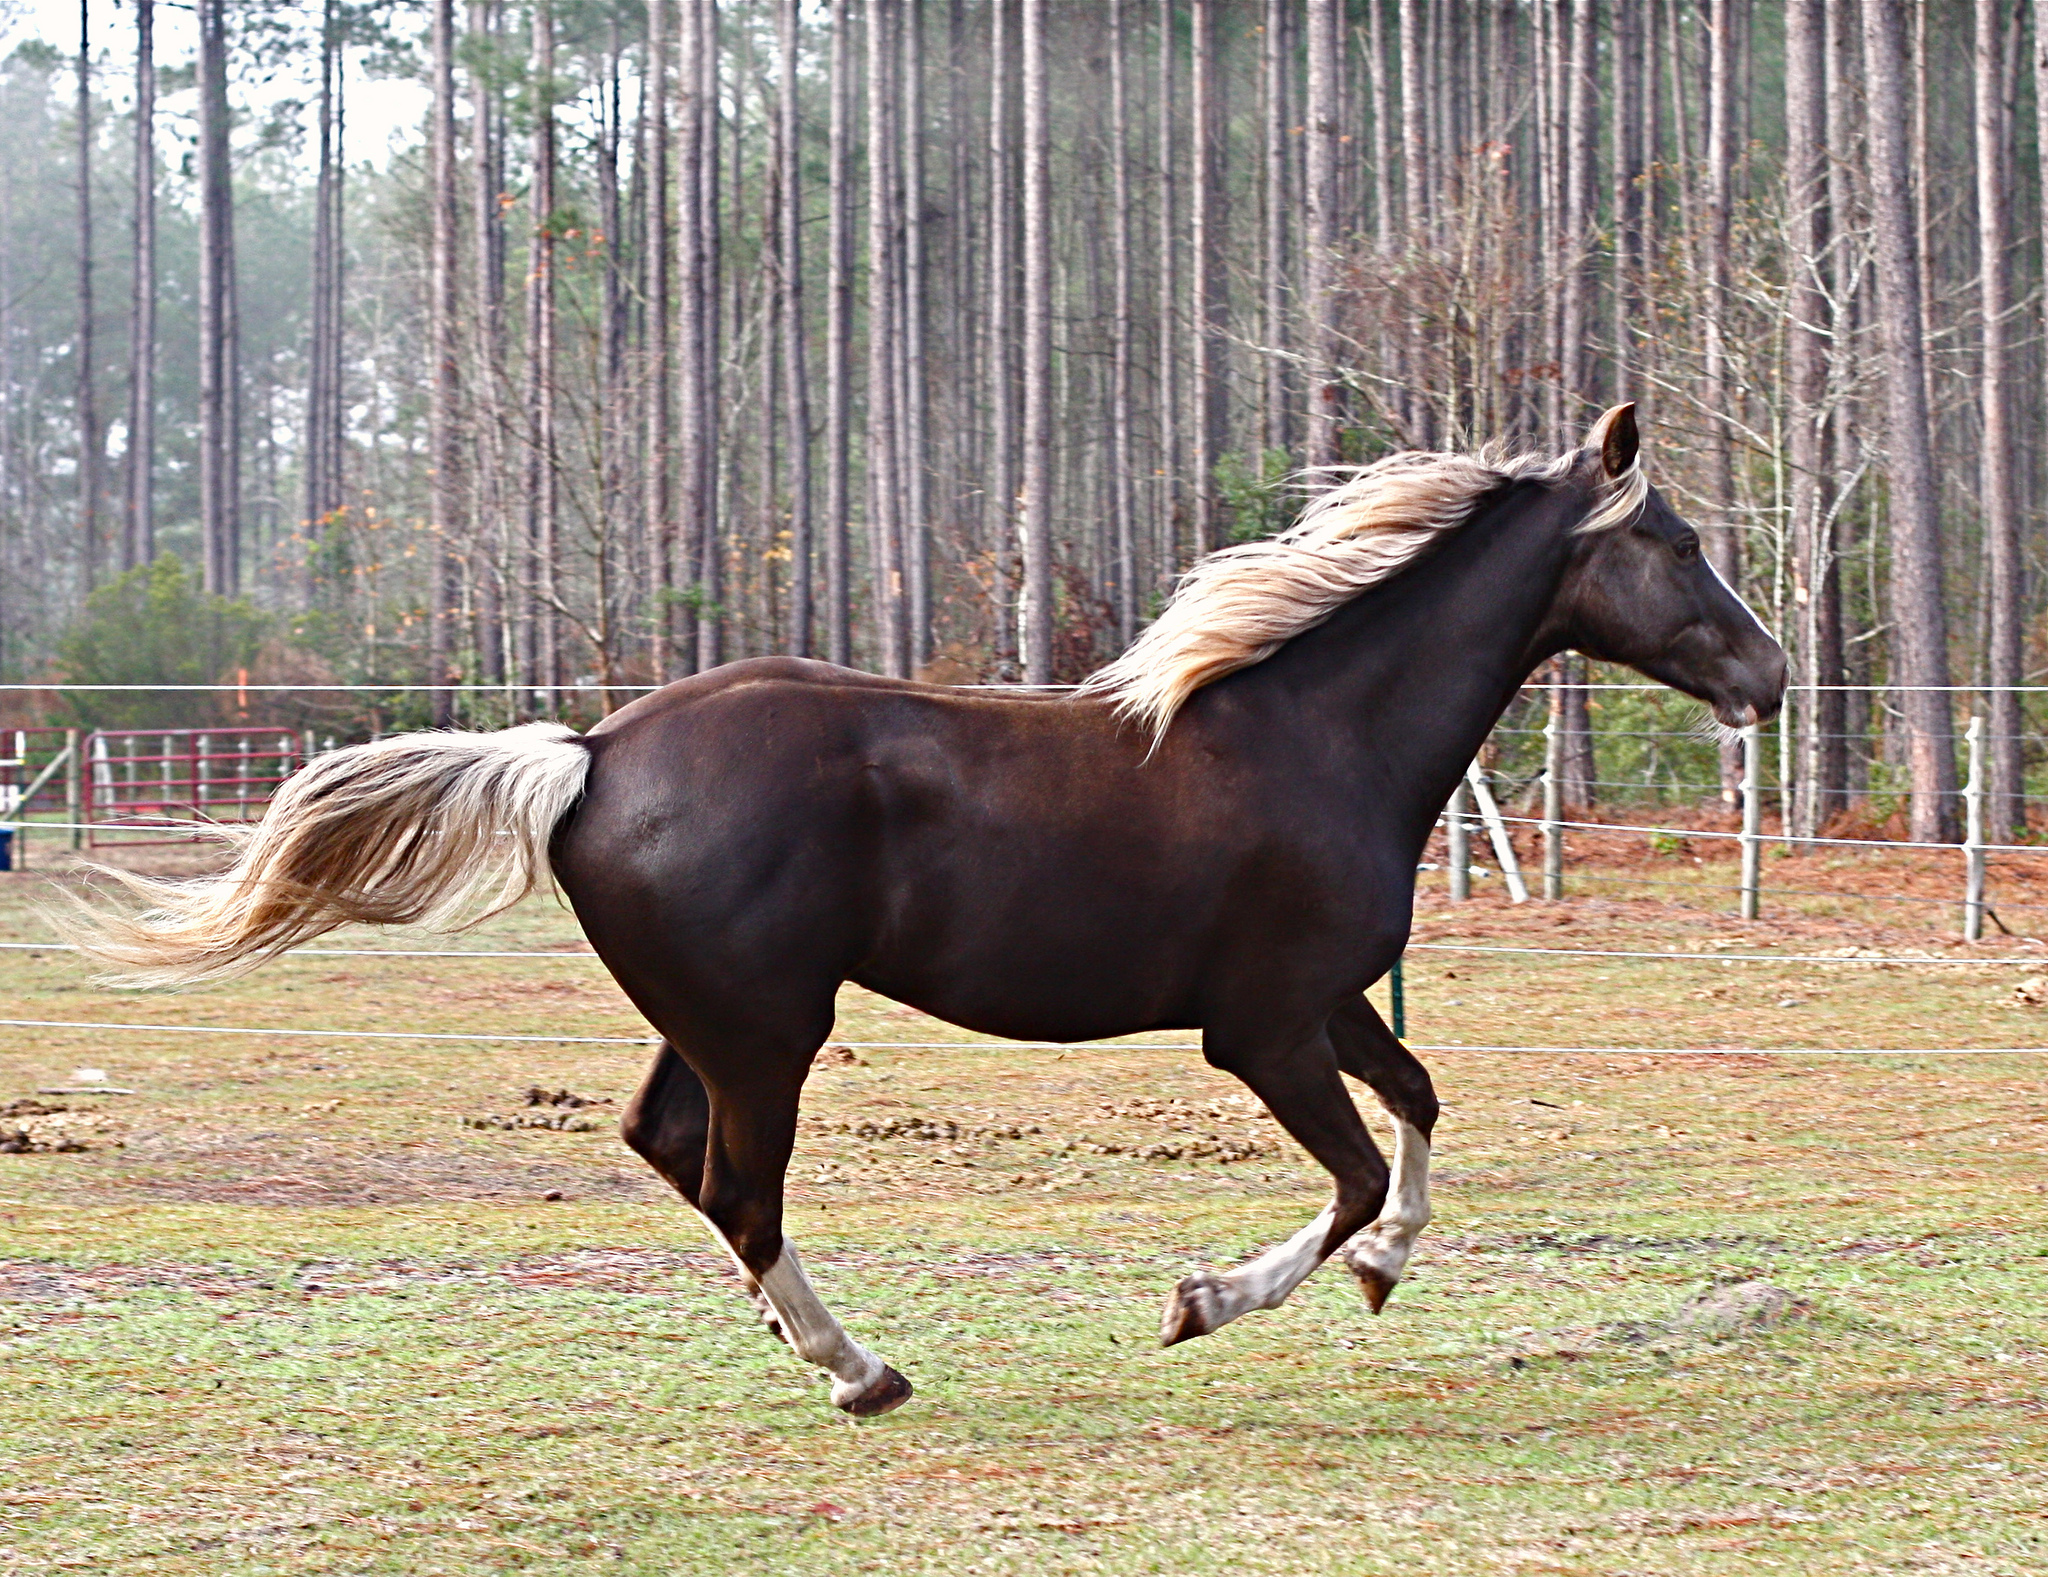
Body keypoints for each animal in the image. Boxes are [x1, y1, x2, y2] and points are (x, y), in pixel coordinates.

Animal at [72, 405, 1785, 1409]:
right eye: (1677, 539)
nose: (1767, 677)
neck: (1317, 734)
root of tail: (592, 750)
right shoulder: (1262, 1030)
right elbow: (1361, 1167)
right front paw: (1205, 1301)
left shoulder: (1325, 1001)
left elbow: (1421, 1108)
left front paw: (1376, 1272)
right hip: (769, 1031)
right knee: (742, 1187)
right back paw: (859, 1368)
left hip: (715, 1025)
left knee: (673, 1152)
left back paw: (809, 1345)